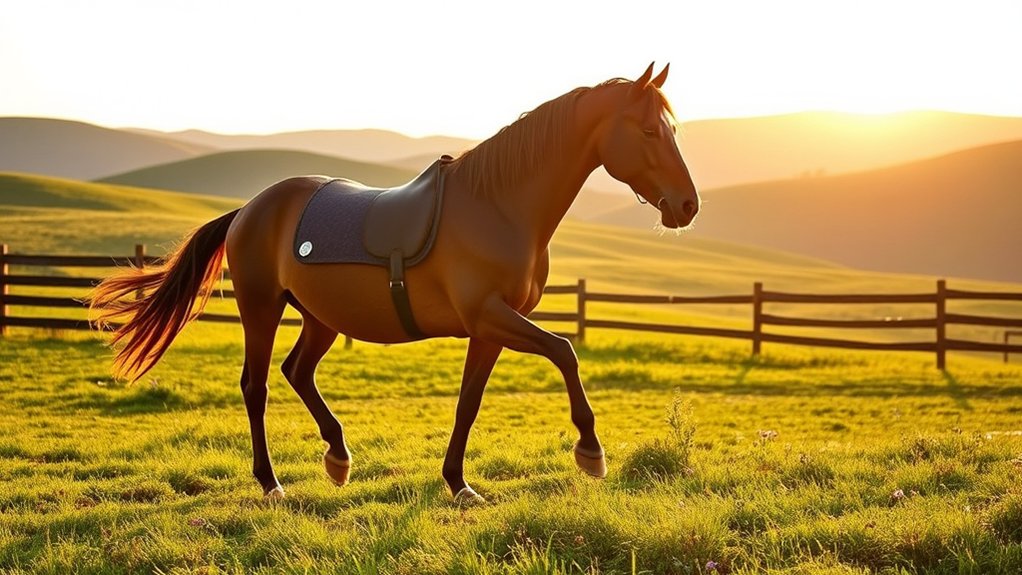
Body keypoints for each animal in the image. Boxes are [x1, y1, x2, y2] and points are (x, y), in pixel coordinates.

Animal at [89, 63, 699, 504]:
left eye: (672, 130)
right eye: (649, 130)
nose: (687, 206)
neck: (497, 206)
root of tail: (250, 210)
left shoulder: (490, 328)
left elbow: (469, 402)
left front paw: (459, 484)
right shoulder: (491, 316)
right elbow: (566, 352)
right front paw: (590, 451)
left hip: (320, 318)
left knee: (297, 372)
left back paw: (338, 458)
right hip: (260, 308)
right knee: (256, 386)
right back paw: (271, 483)